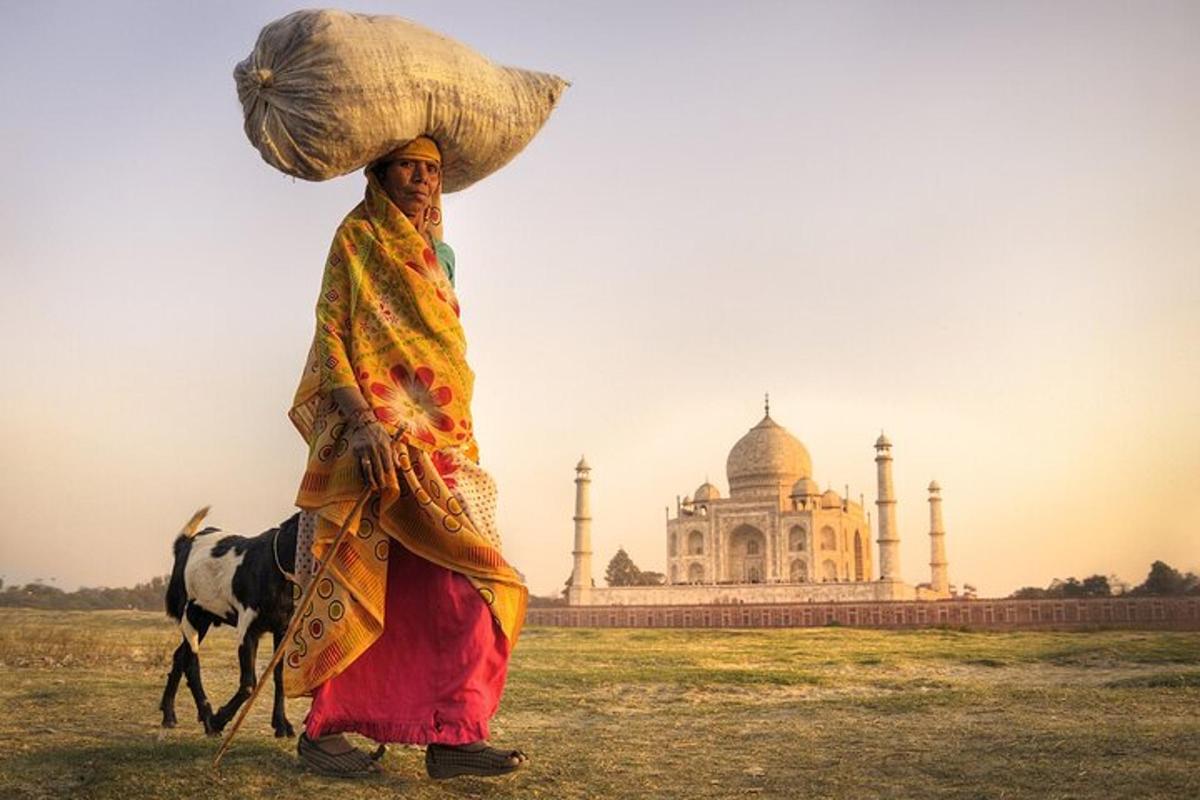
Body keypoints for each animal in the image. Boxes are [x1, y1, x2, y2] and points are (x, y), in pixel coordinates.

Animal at [159, 506, 297, 738]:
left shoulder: (283, 629)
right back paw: (207, 717)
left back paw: (169, 714)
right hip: (191, 616)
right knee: (191, 663)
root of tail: (184, 543)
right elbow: (249, 683)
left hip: (204, 619)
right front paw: (219, 720)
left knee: (180, 656)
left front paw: (281, 724)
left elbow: (279, 676)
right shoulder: (247, 630)